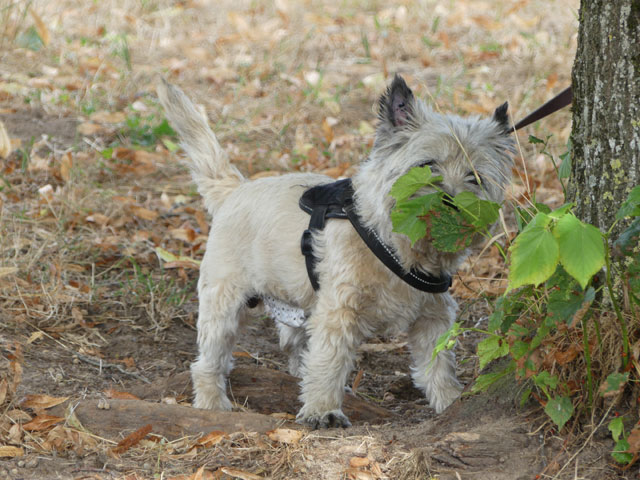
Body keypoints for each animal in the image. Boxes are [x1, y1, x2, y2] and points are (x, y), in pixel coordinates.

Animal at [158, 75, 512, 428]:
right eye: (427, 166)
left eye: (475, 177)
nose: (452, 203)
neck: (398, 246)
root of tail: (237, 189)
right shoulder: (338, 311)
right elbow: (329, 361)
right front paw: (323, 410)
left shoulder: (433, 316)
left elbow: (439, 365)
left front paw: (451, 402)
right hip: (225, 304)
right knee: (209, 360)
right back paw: (212, 402)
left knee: (295, 348)